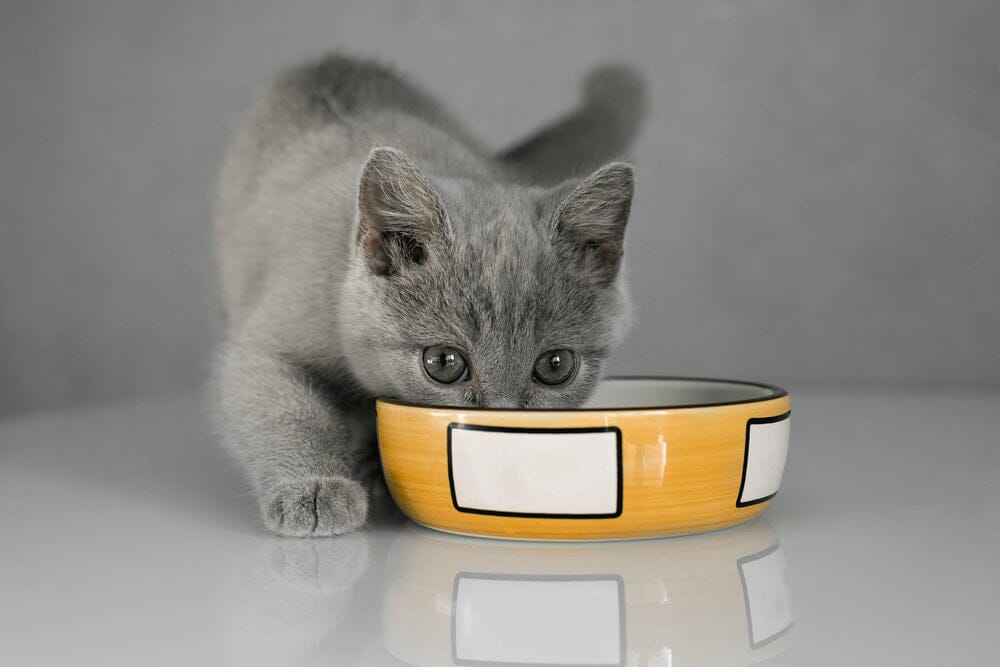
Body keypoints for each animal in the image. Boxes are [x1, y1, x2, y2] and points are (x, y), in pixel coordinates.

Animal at [215, 56, 644, 536]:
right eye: (444, 363)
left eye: (556, 366)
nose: (501, 427)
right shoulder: (270, 337)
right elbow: (284, 408)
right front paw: (315, 488)